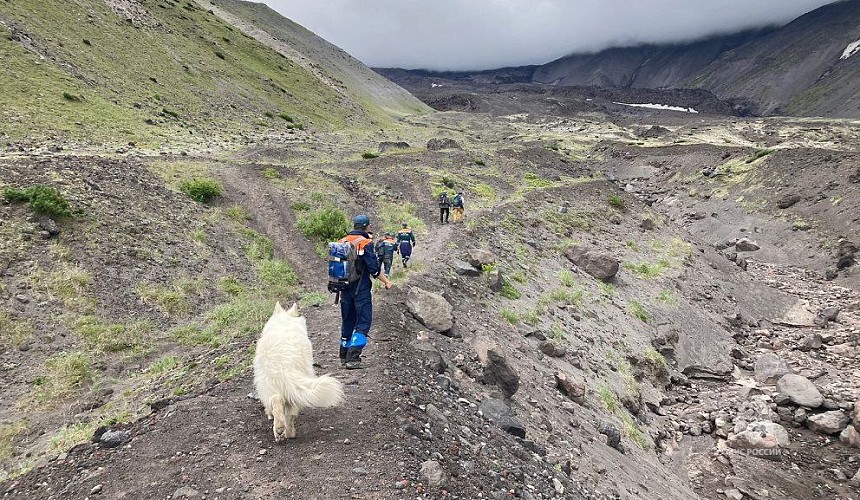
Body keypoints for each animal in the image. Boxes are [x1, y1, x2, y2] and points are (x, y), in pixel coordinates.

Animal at [252, 300, 342, 442]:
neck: (284, 321)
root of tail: (282, 365)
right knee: (287, 411)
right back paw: (286, 431)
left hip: (270, 383)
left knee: (279, 404)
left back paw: (282, 430)